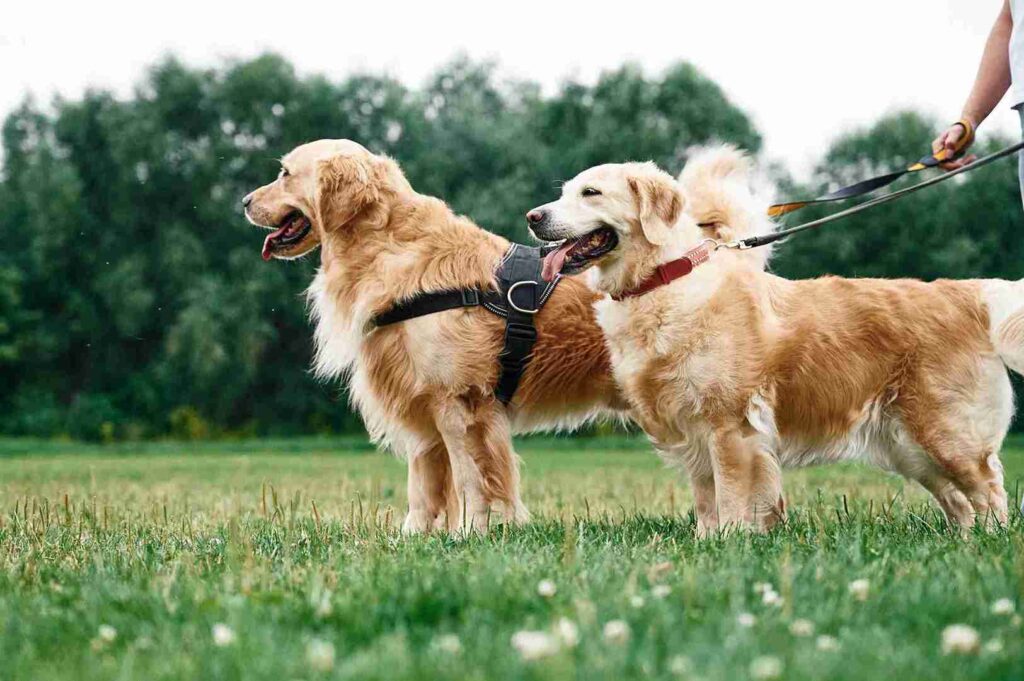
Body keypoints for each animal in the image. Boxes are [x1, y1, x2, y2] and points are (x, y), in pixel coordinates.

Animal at [241, 138, 622, 532]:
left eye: (285, 174)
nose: (244, 202)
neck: (389, 247)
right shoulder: (418, 399)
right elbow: (422, 480)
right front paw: (413, 533)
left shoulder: (458, 400)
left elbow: (470, 476)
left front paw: (470, 530)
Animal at [532, 147, 1019, 532]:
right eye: (564, 192)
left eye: (590, 193)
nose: (533, 217)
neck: (662, 280)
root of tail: (967, 292)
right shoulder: (693, 432)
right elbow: (706, 501)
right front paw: (706, 542)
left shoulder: (729, 425)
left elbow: (731, 496)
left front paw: (730, 544)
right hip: (911, 444)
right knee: (960, 502)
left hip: (947, 433)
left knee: (989, 490)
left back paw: (991, 541)